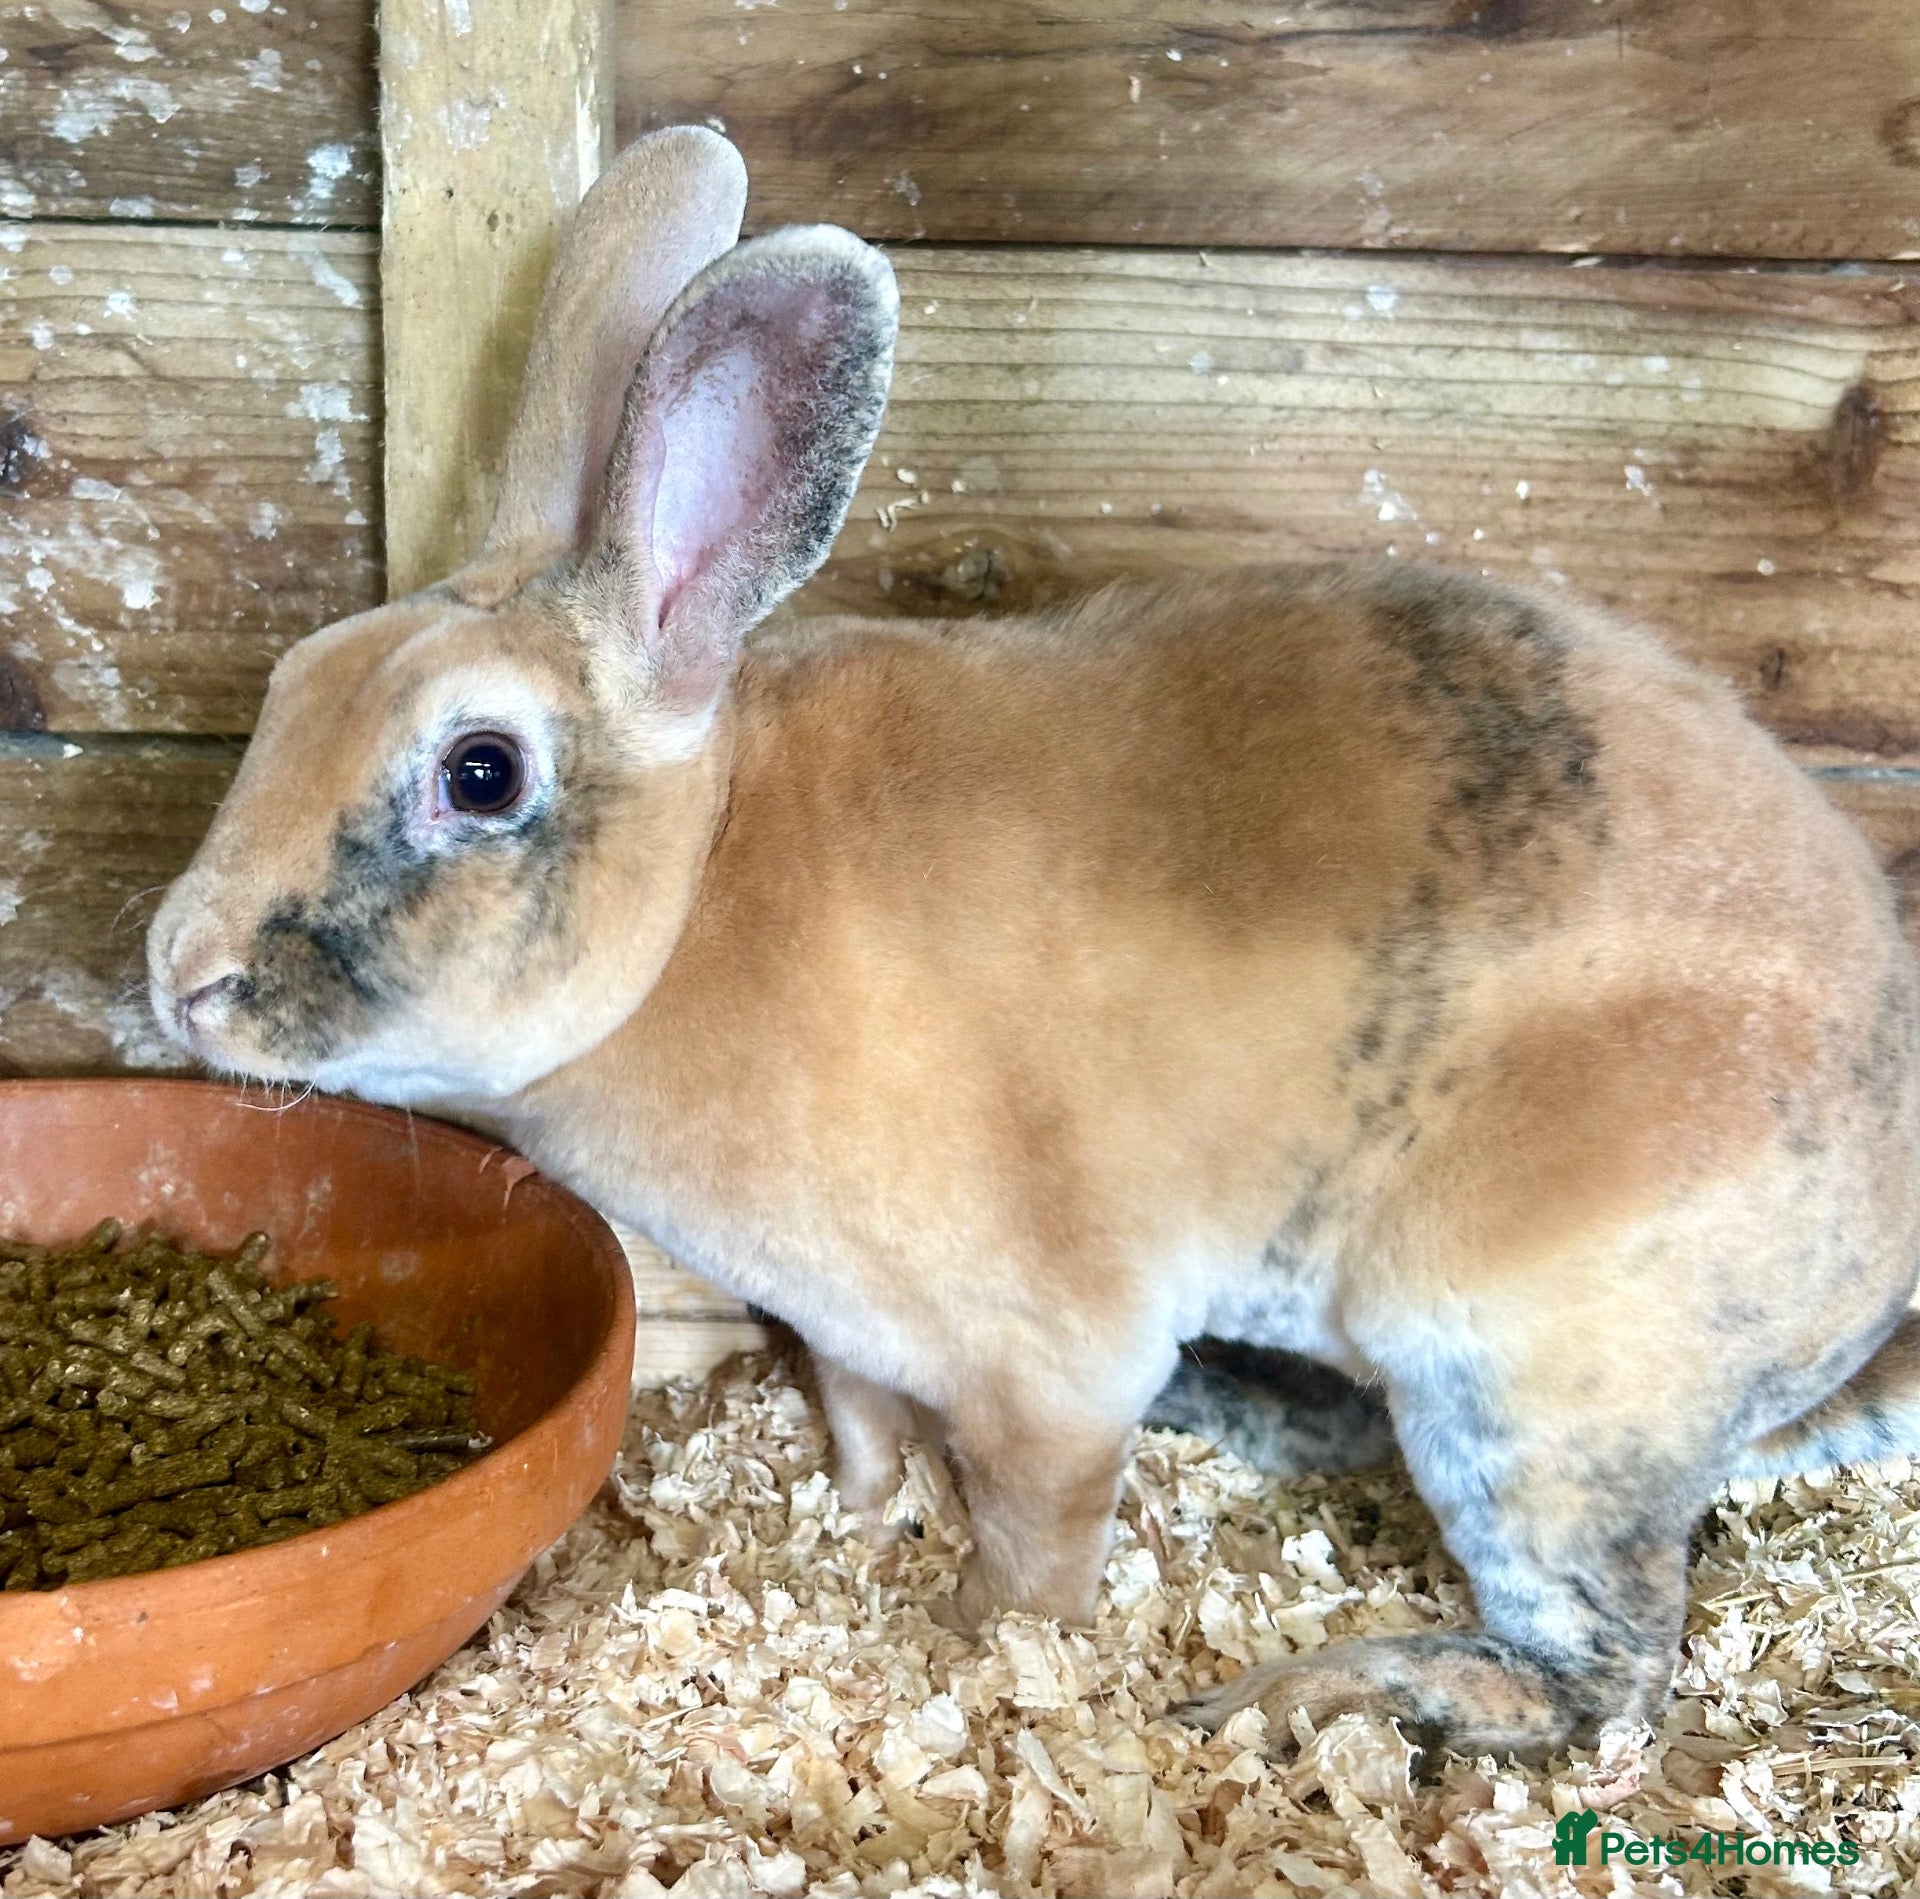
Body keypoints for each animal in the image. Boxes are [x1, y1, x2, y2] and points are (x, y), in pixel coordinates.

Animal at [146, 123, 1920, 1764]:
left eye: (479, 772)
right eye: (292, 683)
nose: (180, 972)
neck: (699, 893)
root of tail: (1859, 1286)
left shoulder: (1049, 1368)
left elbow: (1035, 1536)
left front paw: (983, 1641)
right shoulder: (844, 1332)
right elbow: (861, 1425)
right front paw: (861, 1523)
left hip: (1523, 1386)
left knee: (1601, 1675)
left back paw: (1310, 1692)